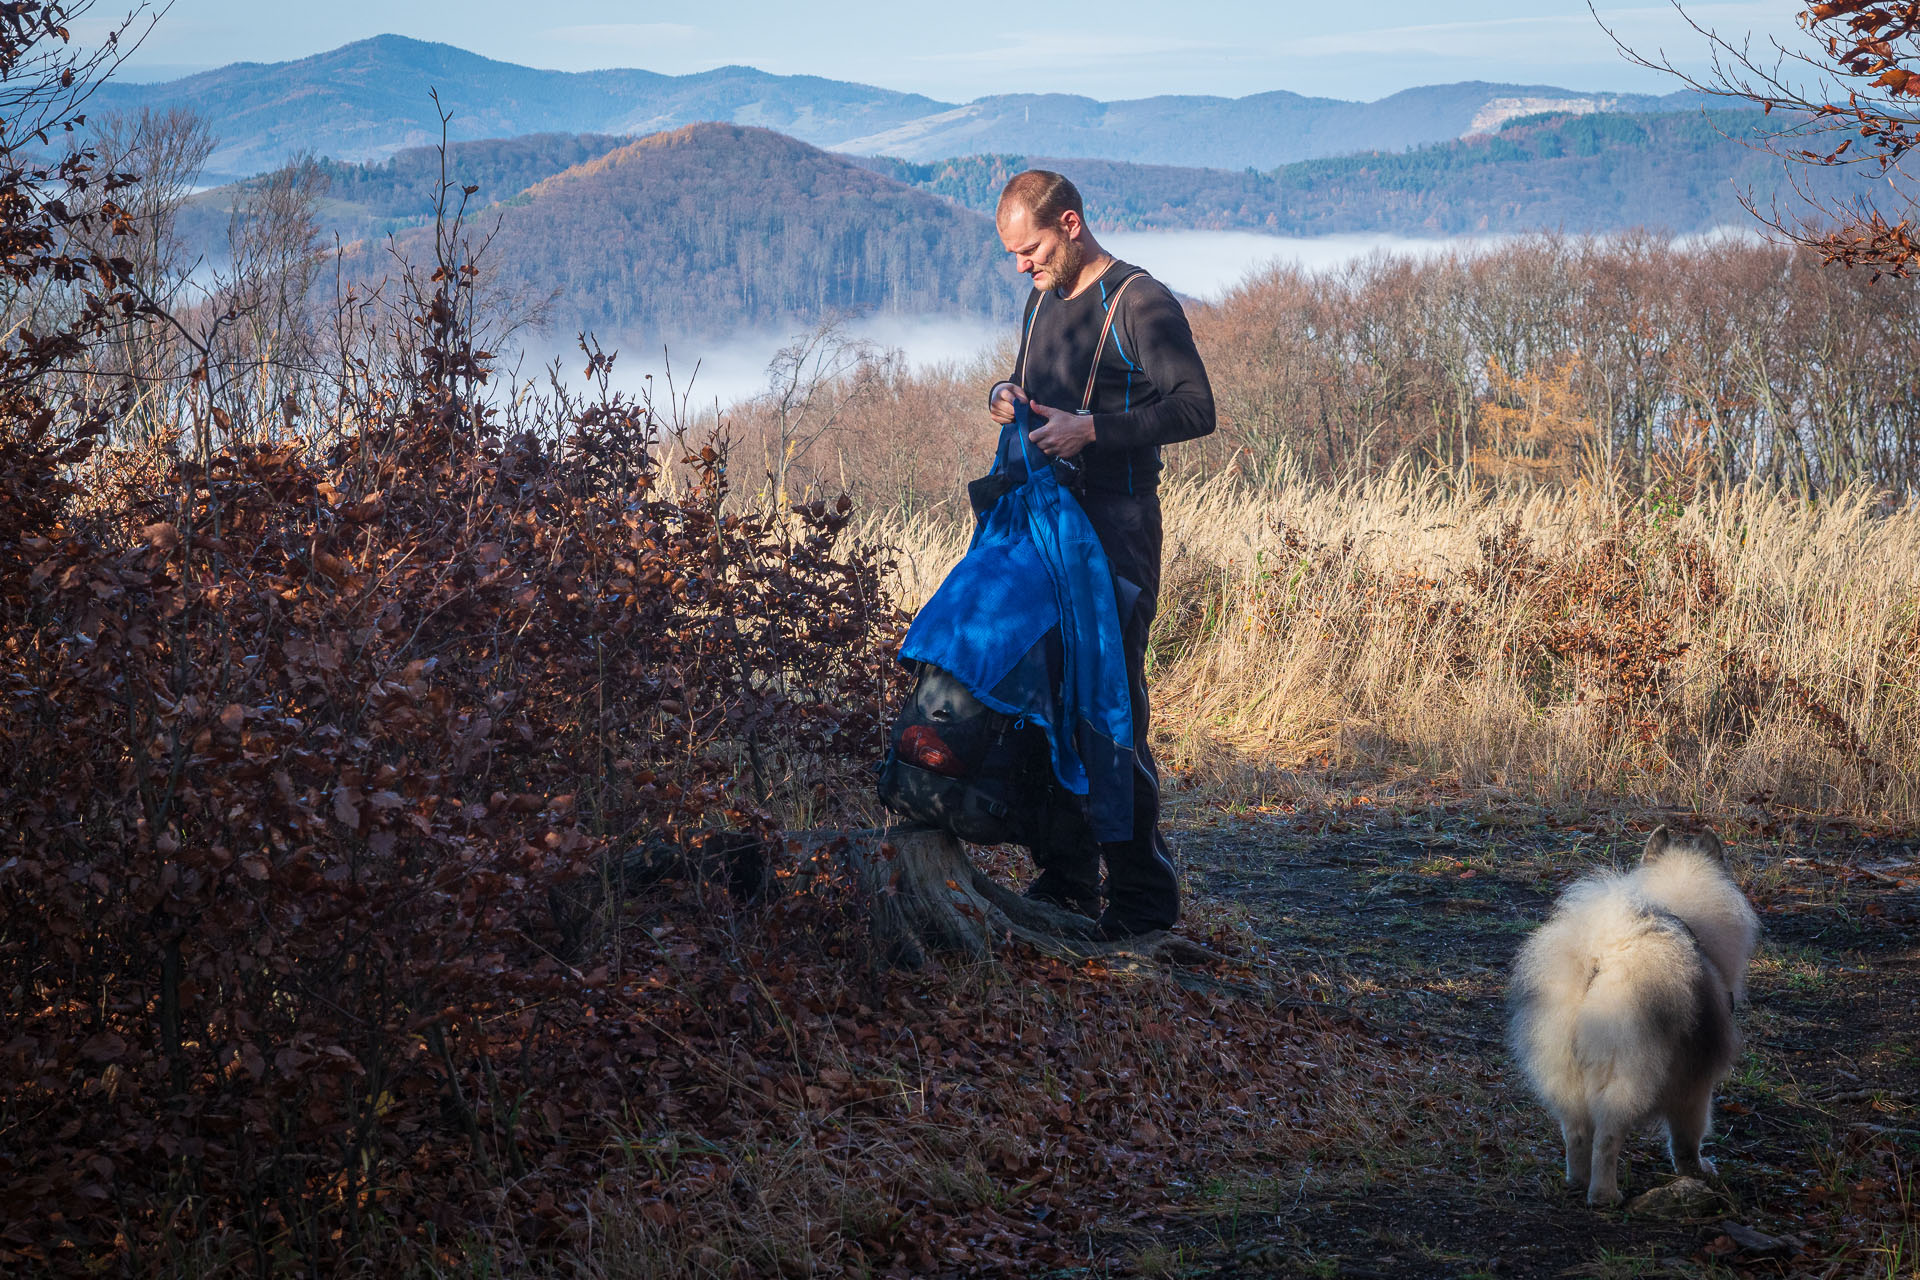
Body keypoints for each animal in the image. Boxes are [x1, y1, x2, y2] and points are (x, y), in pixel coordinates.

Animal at [1505, 825, 1758, 1205]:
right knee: (1606, 1139)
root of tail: (1601, 959)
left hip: (1563, 1070)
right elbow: (1688, 1138)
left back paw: (1577, 1181)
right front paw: (1697, 1169)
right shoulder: (1695, 1083)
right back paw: (1604, 1195)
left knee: (1576, 1134)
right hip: (1623, 1074)